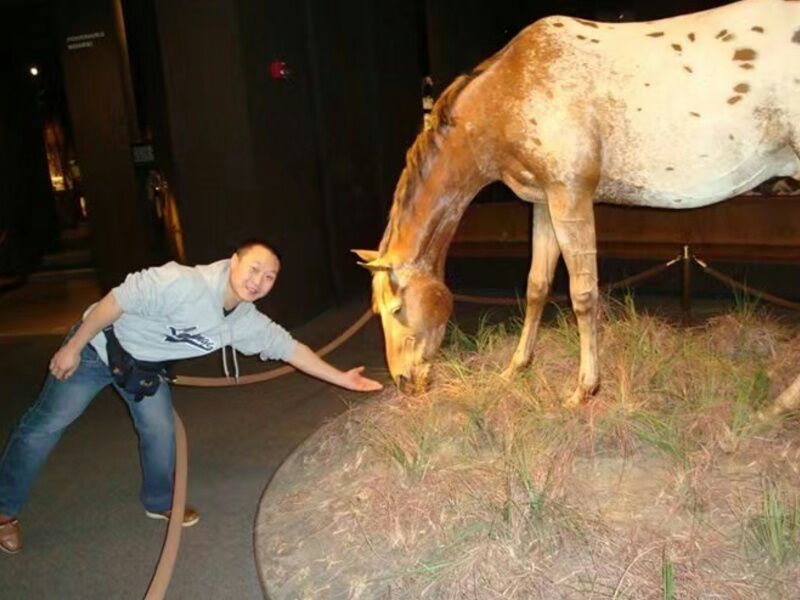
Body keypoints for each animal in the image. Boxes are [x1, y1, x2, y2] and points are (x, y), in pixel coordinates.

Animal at [356, 0, 800, 408]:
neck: (512, 91)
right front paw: (516, 368)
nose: (404, 381)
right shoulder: (542, 203)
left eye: (397, 309)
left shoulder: (570, 195)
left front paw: (585, 389)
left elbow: (583, 295)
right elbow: (536, 286)